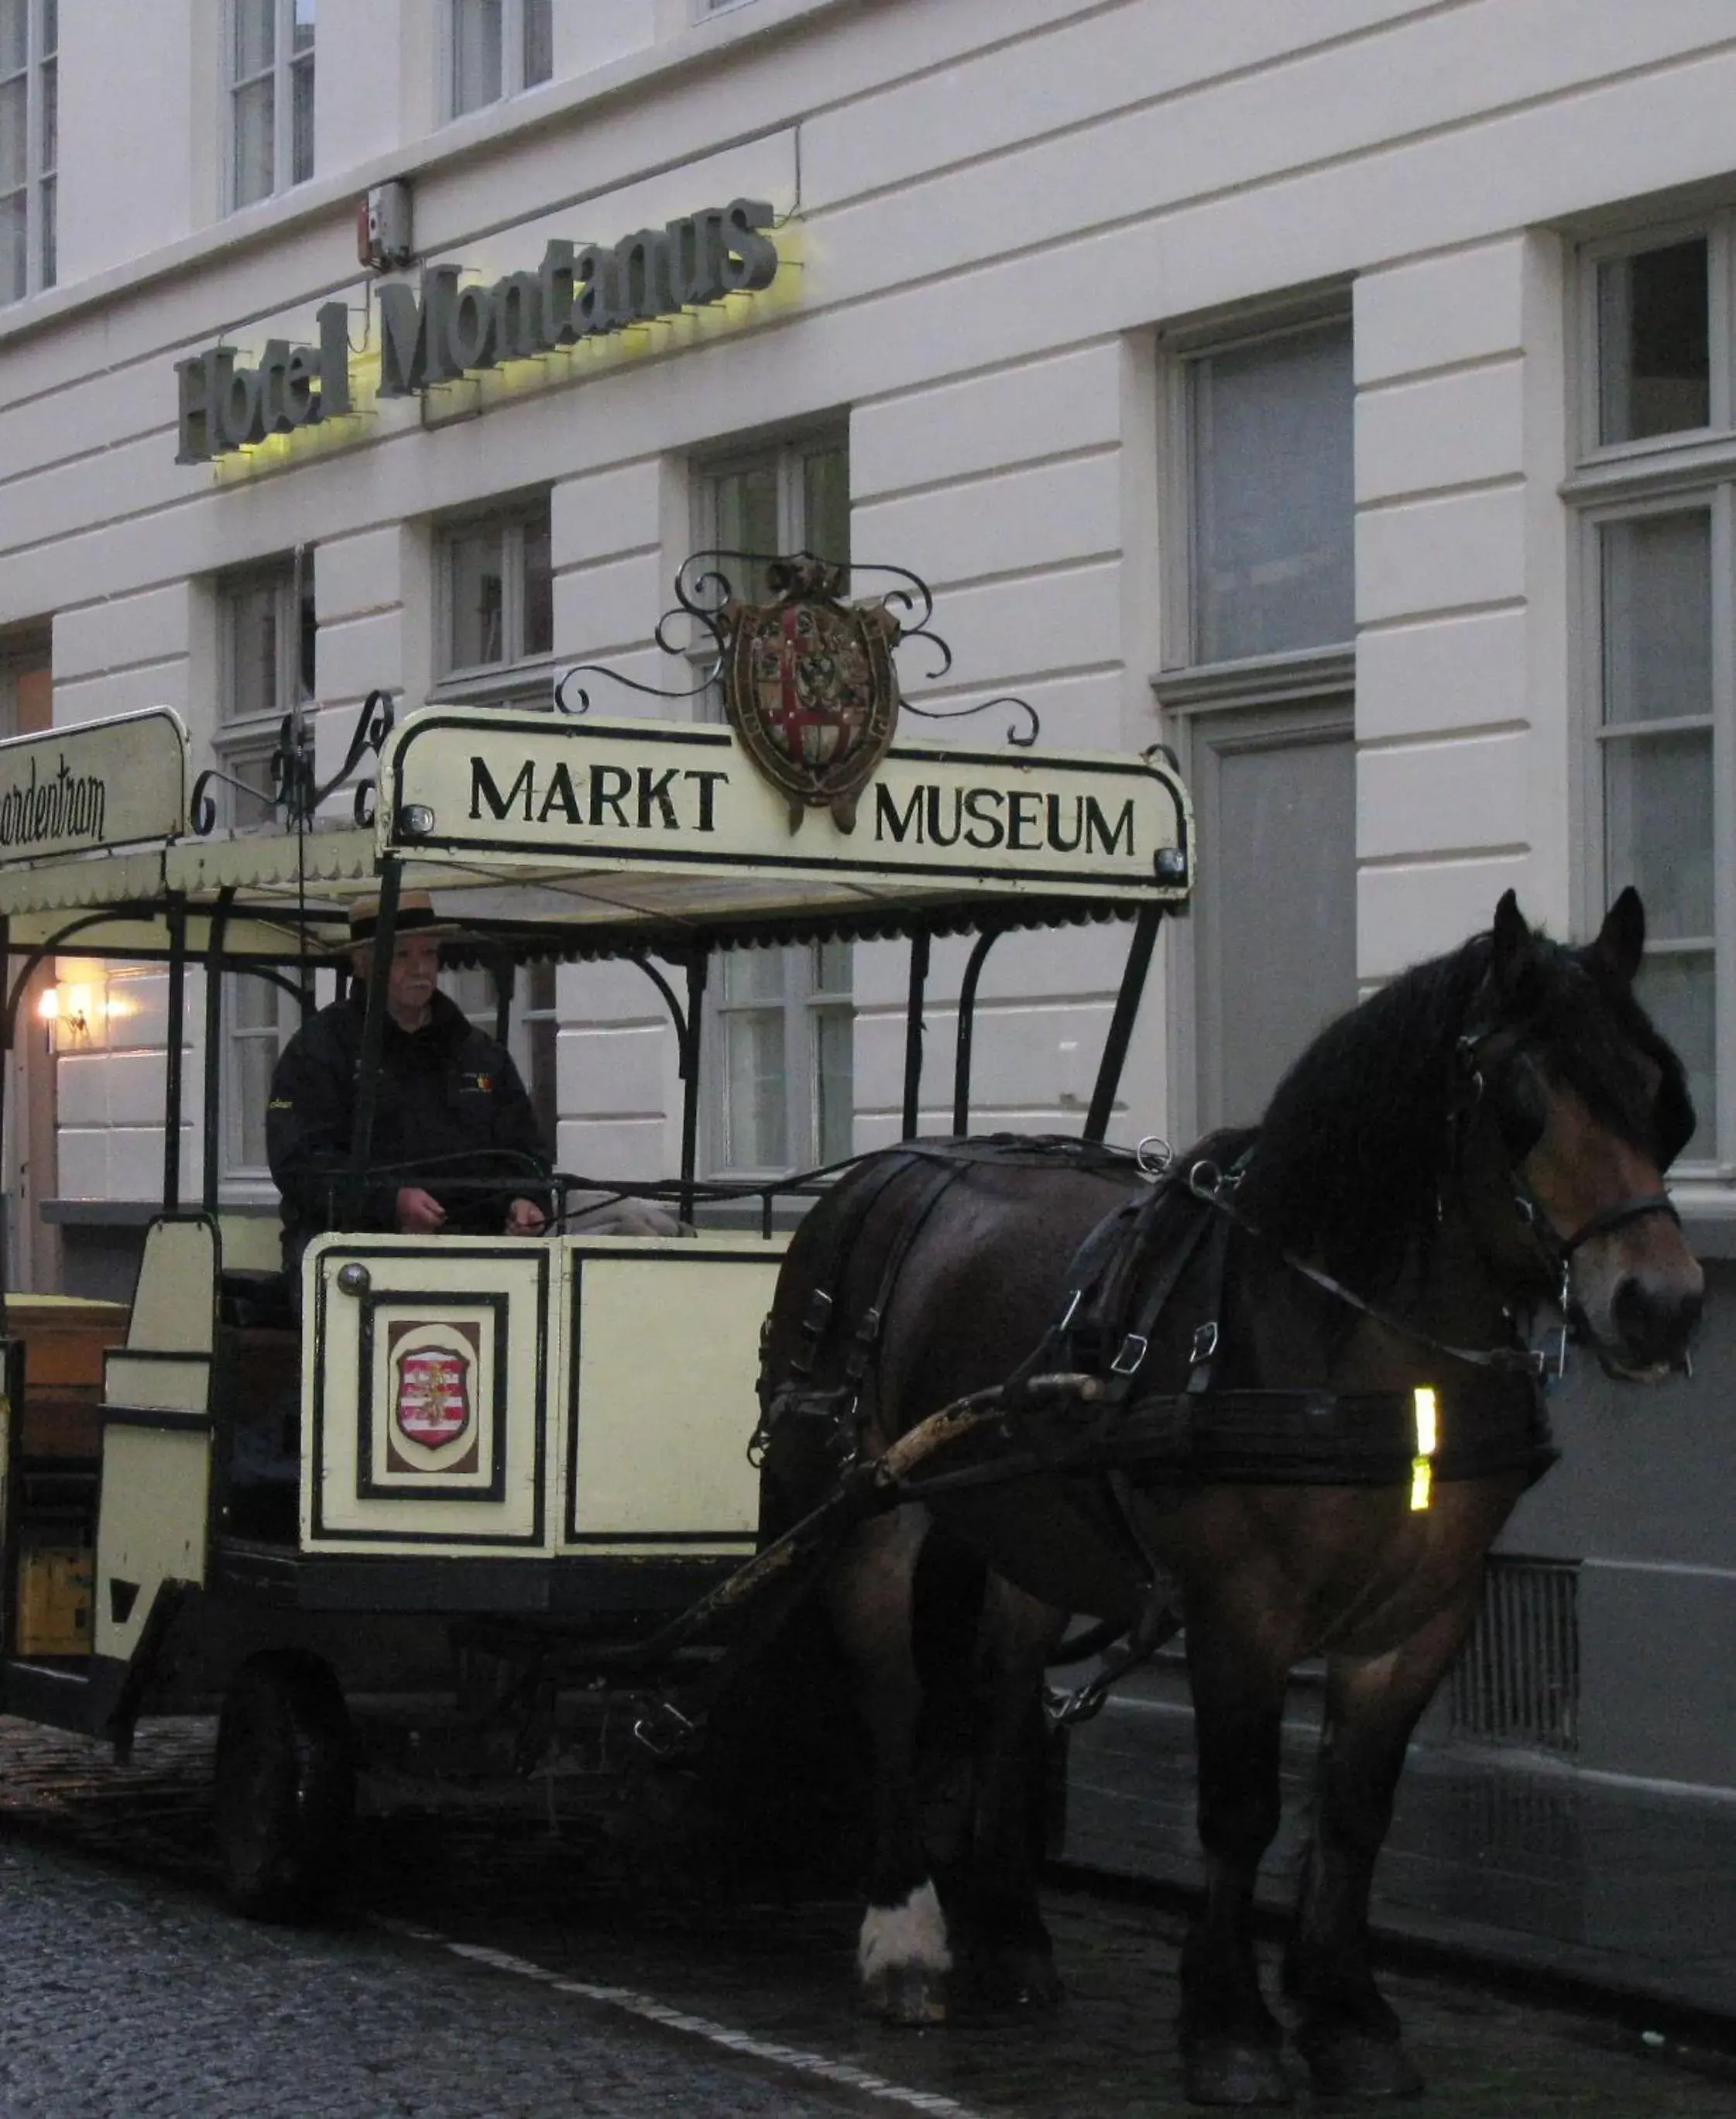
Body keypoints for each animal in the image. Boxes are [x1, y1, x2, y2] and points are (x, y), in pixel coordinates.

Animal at [759, 890, 1695, 2102]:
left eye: (1660, 1096)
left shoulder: (1425, 1616)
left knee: (1004, 1696)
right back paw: (905, 1936)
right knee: (893, 1694)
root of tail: (876, 1172)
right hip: (869, 1505)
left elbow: (1354, 1812)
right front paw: (1229, 2026)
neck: (1355, 1357)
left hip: (1032, 1527)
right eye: (1520, 1108)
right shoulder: (1239, 1607)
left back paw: (1011, 1936)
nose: (1662, 1305)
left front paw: (1346, 2015)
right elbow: (1240, 1809)